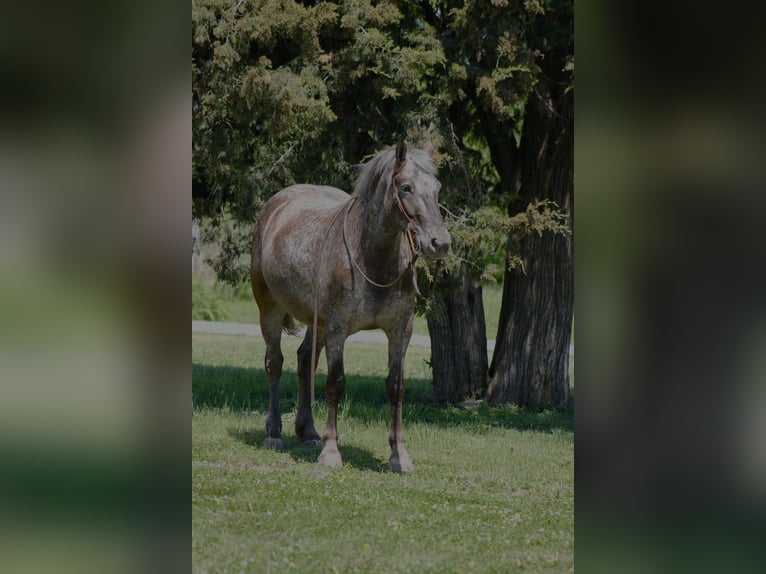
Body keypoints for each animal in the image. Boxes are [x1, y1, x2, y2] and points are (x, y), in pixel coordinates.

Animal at [250, 141, 450, 472]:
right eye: (406, 188)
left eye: (436, 188)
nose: (440, 243)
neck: (369, 257)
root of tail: (274, 207)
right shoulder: (337, 329)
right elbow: (335, 383)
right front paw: (331, 451)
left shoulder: (400, 329)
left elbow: (396, 386)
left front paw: (399, 454)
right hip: (270, 309)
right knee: (274, 363)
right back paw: (274, 433)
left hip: (315, 322)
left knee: (305, 362)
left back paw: (308, 432)